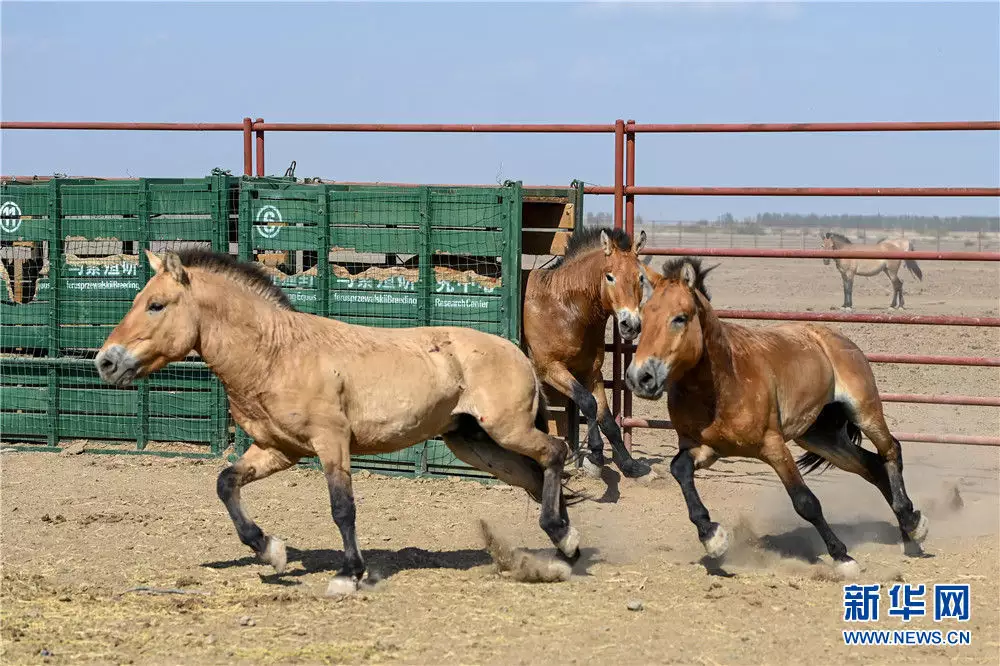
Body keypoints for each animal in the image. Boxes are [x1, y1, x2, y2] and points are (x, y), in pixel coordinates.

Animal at [97, 249, 584, 592]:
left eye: (156, 305)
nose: (106, 362)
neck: (277, 353)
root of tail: (519, 354)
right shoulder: (278, 450)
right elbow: (226, 483)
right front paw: (270, 551)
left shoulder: (331, 442)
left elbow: (342, 507)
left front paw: (348, 574)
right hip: (477, 445)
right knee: (535, 474)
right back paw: (564, 545)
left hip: (507, 430)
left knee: (555, 454)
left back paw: (563, 538)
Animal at [524, 227, 656, 478]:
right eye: (609, 276)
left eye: (641, 278)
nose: (630, 325)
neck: (563, 309)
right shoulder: (550, 369)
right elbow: (587, 402)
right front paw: (595, 455)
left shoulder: (592, 372)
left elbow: (607, 419)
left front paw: (630, 465)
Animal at [624, 254, 928, 576]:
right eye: (644, 317)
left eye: (680, 317)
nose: (640, 378)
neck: (722, 384)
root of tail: (833, 338)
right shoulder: (705, 448)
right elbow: (679, 469)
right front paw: (712, 538)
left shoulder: (773, 446)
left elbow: (805, 501)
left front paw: (843, 557)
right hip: (821, 436)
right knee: (872, 465)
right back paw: (909, 535)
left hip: (865, 411)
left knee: (890, 450)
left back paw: (913, 522)